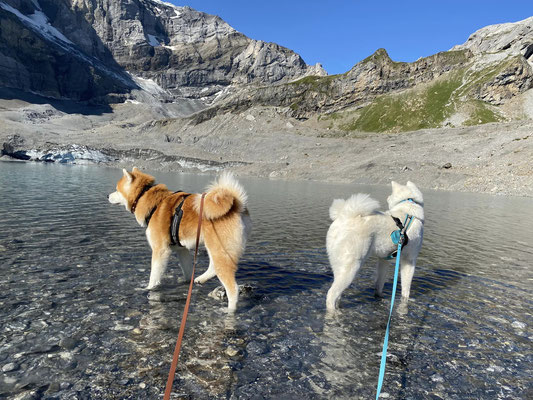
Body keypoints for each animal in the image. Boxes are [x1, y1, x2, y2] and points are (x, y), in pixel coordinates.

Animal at [108, 167, 251, 310]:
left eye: (116, 189)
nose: (107, 196)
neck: (151, 201)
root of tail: (237, 205)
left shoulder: (160, 250)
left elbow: (154, 276)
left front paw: (148, 288)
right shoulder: (182, 250)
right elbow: (187, 269)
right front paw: (188, 283)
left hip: (219, 250)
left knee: (232, 288)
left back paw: (229, 310)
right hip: (216, 249)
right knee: (213, 267)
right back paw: (200, 279)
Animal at [324, 180, 424, 310]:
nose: (387, 197)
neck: (407, 206)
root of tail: (345, 216)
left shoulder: (384, 260)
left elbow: (379, 283)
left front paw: (379, 296)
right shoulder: (409, 261)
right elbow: (406, 289)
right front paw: (405, 302)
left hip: (339, 265)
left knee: (337, 293)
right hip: (352, 266)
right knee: (331, 294)